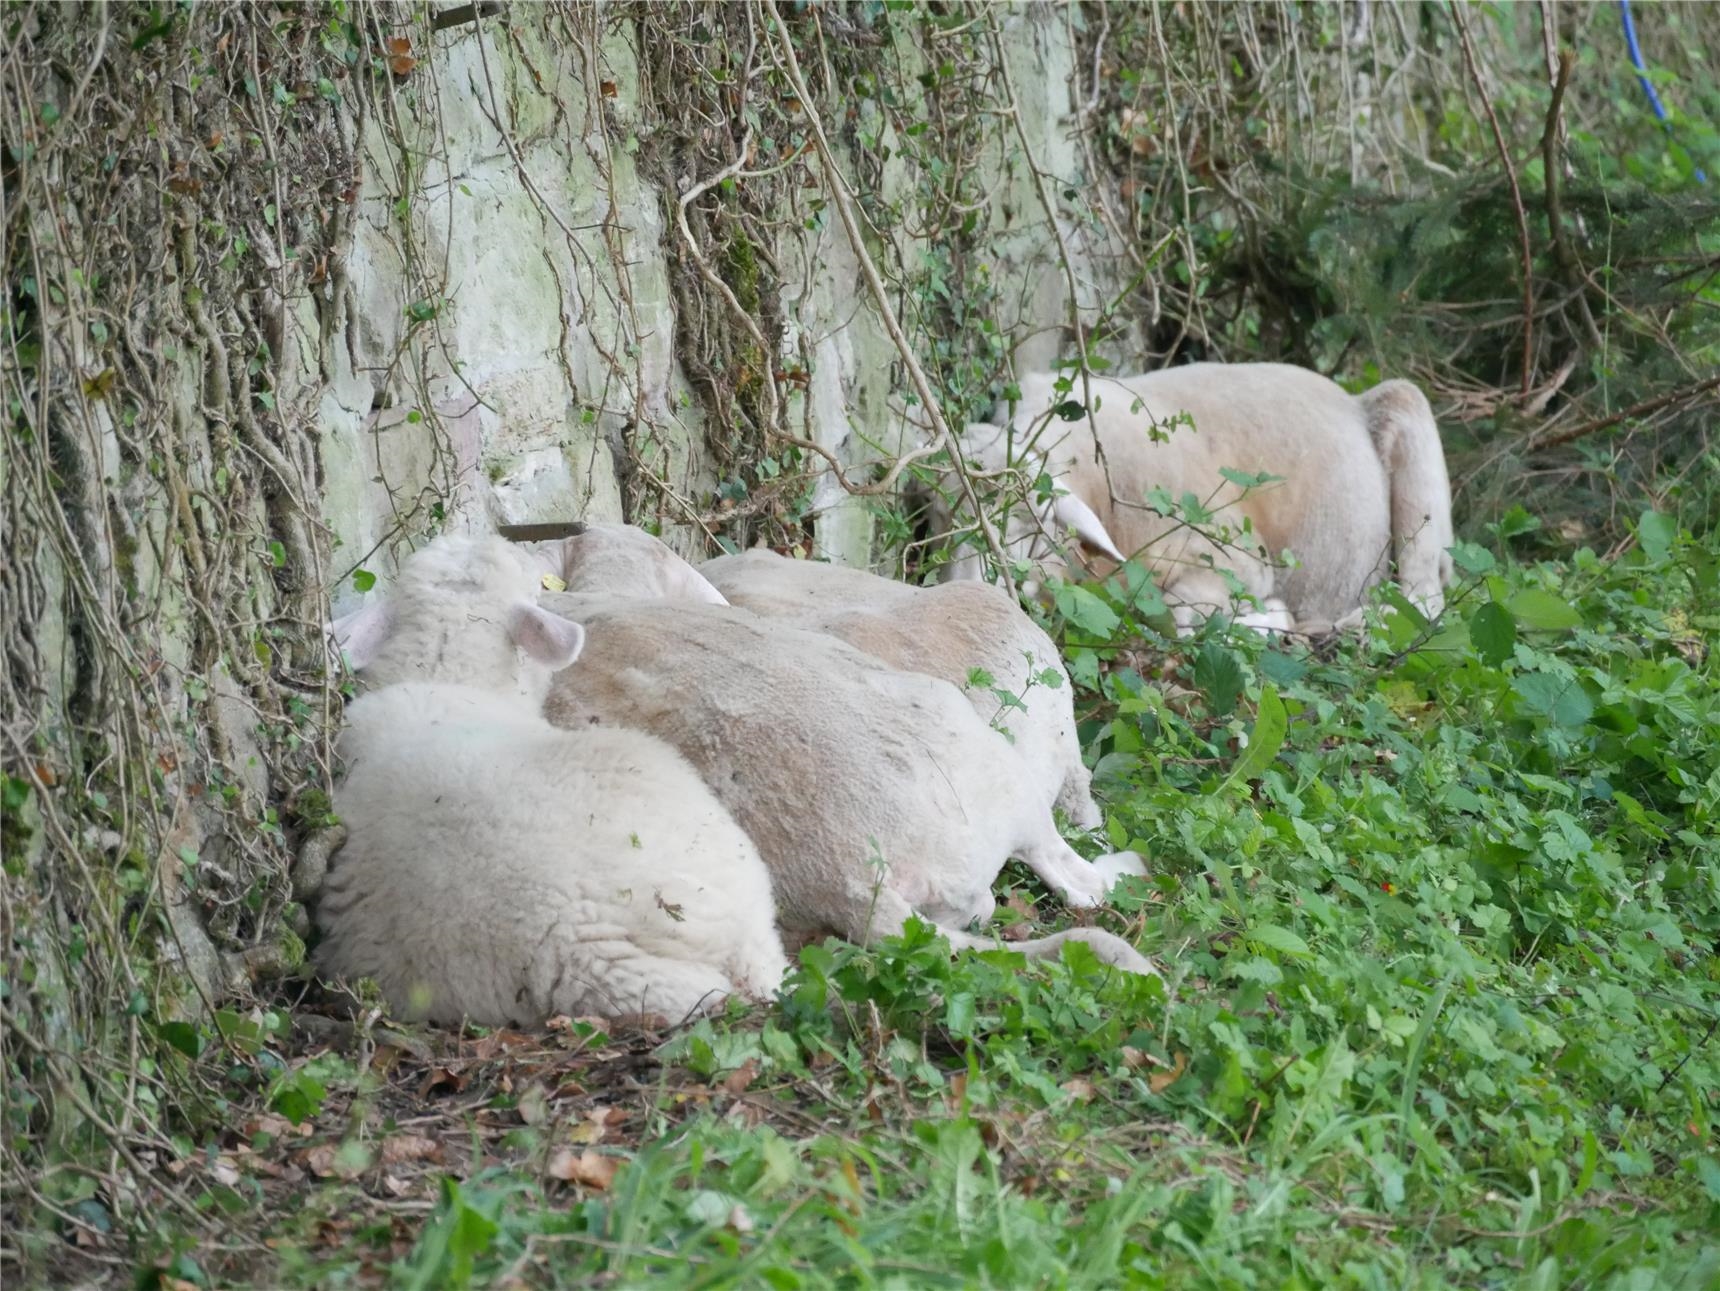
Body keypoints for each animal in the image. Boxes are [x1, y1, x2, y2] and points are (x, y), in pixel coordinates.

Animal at [942, 360, 1451, 632]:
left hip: (1410, 418)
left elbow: (1180, 614)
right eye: (941, 523)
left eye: (1028, 527)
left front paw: (1273, 618)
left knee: (1426, 600)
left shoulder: (1234, 558)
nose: (963, 598)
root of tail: (1350, 397)